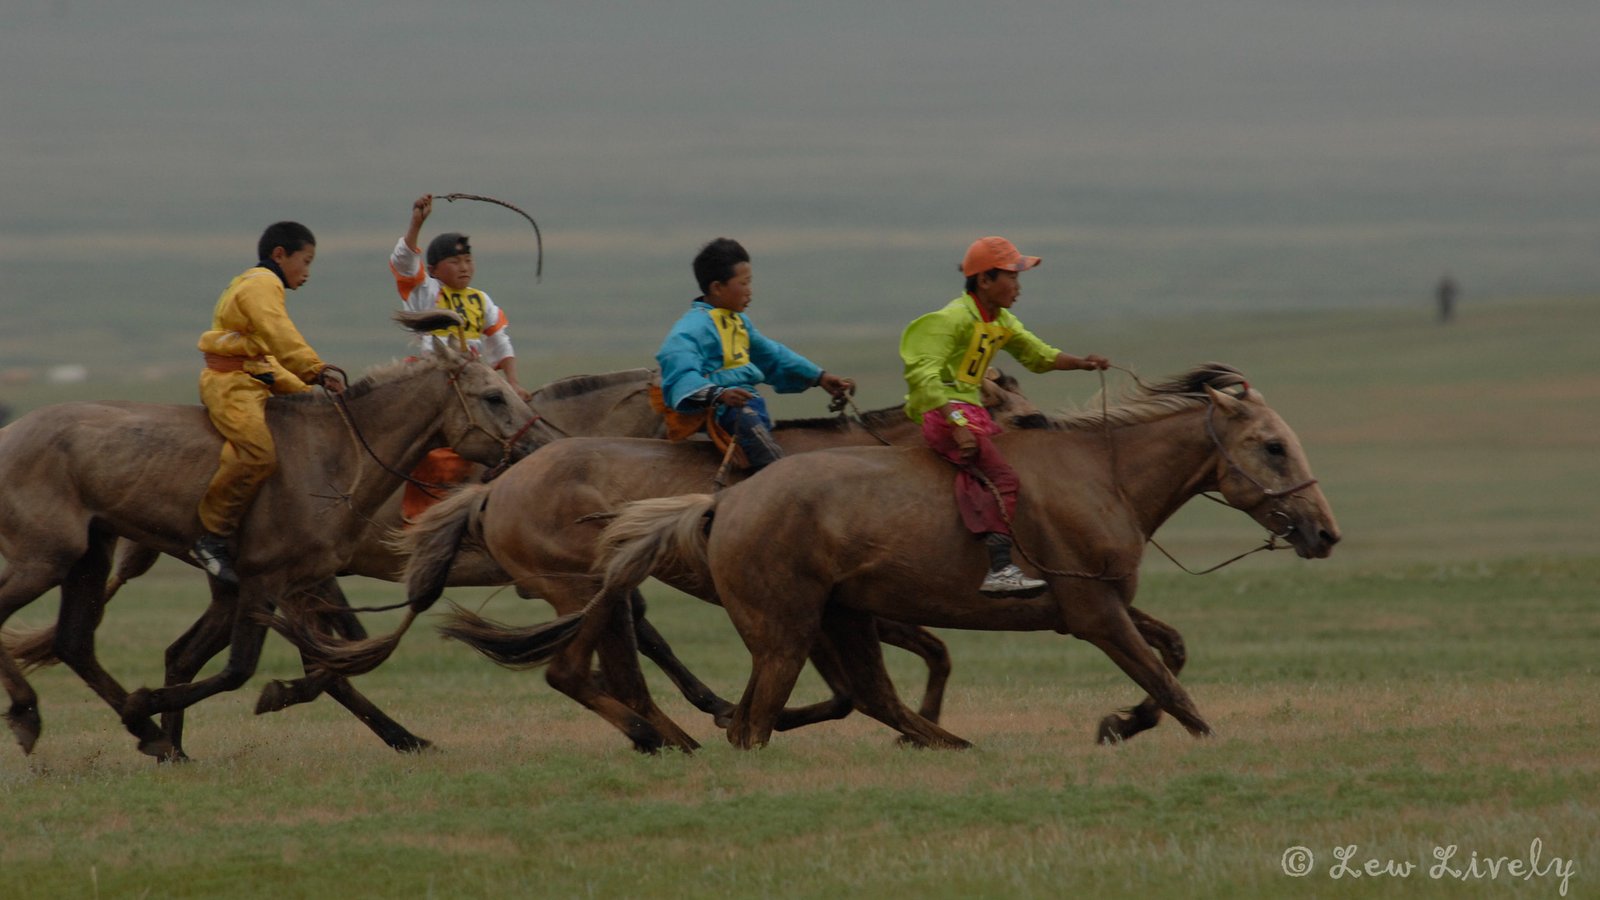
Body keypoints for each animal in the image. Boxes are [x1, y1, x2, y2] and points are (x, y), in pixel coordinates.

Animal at [0, 311, 540, 760]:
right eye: (493, 396)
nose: (535, 447)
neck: (337, 457)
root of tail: (9, 434)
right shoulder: (266, 580)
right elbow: (243, 668)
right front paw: (146, 704)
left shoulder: (299, 585)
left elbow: (327, 665)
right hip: (44, 559)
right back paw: (35, 715)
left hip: (88, 557)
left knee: (76, 643)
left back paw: (156, 739)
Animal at [295, 373, 1047, 752]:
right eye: (1022, 415)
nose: (1046, 429)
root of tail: (493, 489)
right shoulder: (825, 604)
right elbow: (856, 683)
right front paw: (745, 720)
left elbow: (920, 660)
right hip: (580, 592)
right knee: (600, 672)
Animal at [475, 364, 1342, 750]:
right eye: (1271, 445)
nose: (1324, 532)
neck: (1105, 476)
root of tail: (721, 505)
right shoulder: (1094, 613)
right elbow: (1170, 684)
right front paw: (1158, 730)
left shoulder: (1098, 604)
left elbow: (1172, 655)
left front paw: (1118, 724)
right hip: (776, 628)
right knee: (729, 712)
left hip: (834, 619)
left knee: (849, 698)